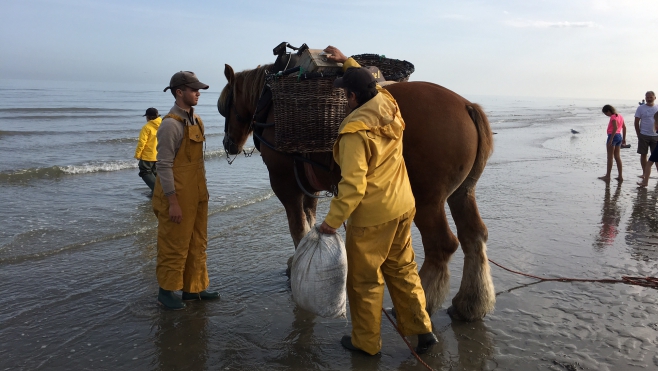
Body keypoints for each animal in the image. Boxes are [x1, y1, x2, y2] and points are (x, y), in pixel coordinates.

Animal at [219, 62, 492, 322]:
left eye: (224, 106)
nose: (227, 143)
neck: (271, 106)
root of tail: (467, 105)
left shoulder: (284, 184)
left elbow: (297, 228)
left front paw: (295, 263)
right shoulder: (307, 186)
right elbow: (309, 219)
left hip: (427, 201)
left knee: (442, 245)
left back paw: (423, 303)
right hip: (462, 193)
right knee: (474, 236)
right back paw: (469, 303)